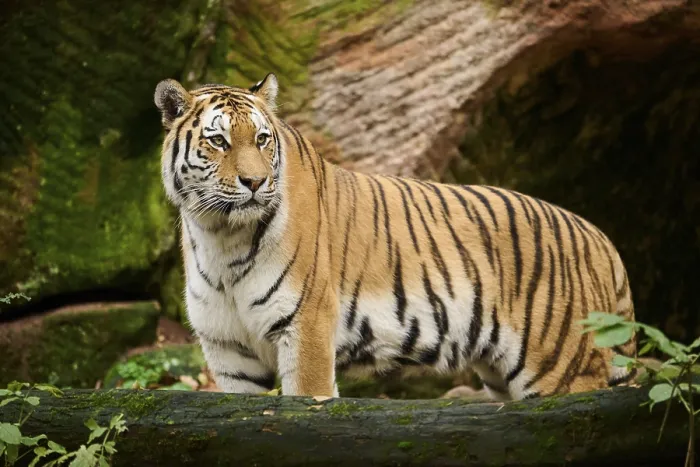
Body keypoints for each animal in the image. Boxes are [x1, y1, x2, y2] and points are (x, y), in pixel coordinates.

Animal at [154, 73, 636, 400]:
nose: (255, 182)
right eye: (218, 141)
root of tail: (601, 238)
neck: (220, 237)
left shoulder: (305, 331)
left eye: (261, 139)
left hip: (562, 371)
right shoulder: (228, 351)